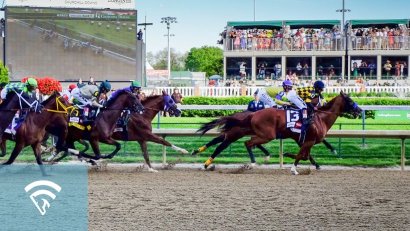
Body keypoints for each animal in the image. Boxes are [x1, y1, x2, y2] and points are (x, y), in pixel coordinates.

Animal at [197, 92, 360, 175]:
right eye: (350, 101)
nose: (359, 110)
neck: (319, 117)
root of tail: (253, 114)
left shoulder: (304, 140)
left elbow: (305, 155)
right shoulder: (308, 140)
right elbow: (302, 155)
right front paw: (293, 168)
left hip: (246, 132)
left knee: (223, 141)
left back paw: (203, 157)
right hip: (265, 134)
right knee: (243, 143)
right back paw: (252, 162)